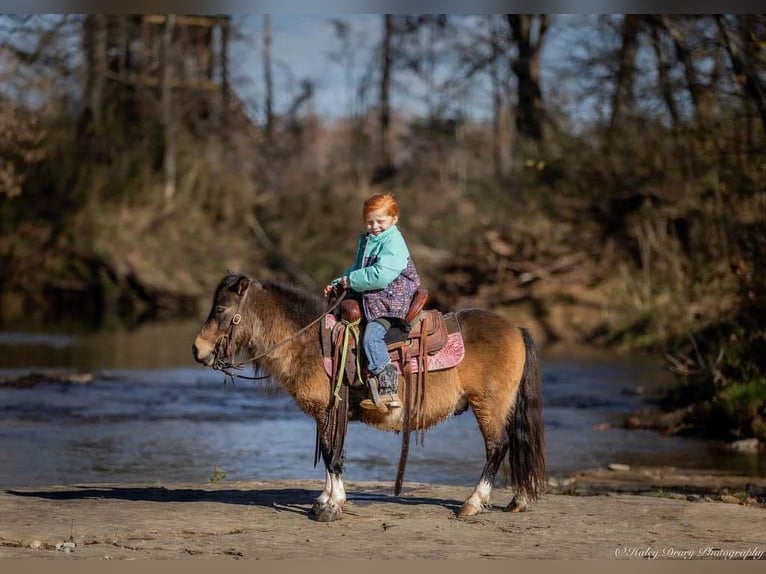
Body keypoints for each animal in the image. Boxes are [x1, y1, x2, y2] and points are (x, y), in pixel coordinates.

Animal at [195, 272, 548, 524]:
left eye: (221, 309)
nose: (198, 350)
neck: (311, 343)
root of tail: (516, 329)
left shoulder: (329, 412)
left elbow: (332, 454)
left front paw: (331, 506)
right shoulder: (327, 415)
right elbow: (331, 454)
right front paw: (324, 501)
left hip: (487, 404)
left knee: (497, 447)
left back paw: (472, 504)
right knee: (514, 444)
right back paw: (517, 500)